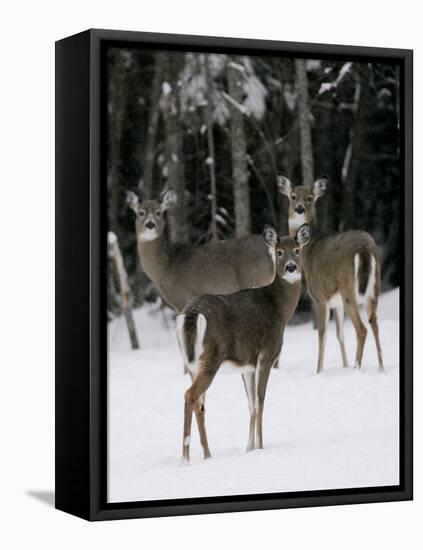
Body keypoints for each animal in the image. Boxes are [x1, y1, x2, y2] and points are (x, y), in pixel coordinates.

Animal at [176, 222, 312, 464]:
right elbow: (260, 401)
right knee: (191, 395)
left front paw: (249, 449)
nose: (291, 268)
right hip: (212, 355)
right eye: (279, 252)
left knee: (199, 403)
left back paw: (207, 455)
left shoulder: (247, 364)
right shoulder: (267, 355)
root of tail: (192, 314)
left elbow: (250, 404)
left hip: (191, 361)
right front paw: (260, 447)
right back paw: (185, 459)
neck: (279, 308)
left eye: (297, 250)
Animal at [278, 177, 384, 376]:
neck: (309, 249)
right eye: (293, 196)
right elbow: (339, 334)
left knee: (362, 329)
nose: (299, 209)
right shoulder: (336, 302)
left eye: (310, 198)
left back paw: (357, 367)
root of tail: (364, 248)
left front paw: (319, 370)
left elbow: (323, 334)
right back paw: (381, 368)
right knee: (374, 322)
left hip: (348, 288)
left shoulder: (319, 296)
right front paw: (344, 365)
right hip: (373, 288)